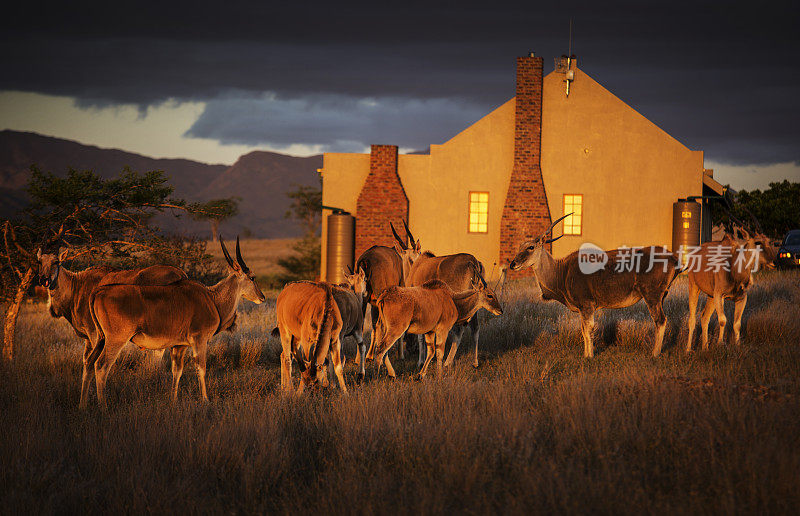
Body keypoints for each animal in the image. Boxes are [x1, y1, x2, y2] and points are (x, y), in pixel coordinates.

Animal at [89, 236, 266, 406]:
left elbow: (177, 371)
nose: (262, 297)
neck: (212, 298)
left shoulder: (179, 346)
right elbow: (201, 368)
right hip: (116, 340)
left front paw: (173, 400)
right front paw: (205, 399)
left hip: (100, 339)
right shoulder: (199, 340)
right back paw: (103, 406)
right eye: (252, 277)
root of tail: (99, 291)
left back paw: (84, 404)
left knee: (89, 362)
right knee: (101, 366)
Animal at [510, 213, 684, 354]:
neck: (562, 271)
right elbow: (583, 330)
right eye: (520, 247)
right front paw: (587, 354)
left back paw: (655, 353)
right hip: (661, 296)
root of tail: (673, 258)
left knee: (660, 320)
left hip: (652, 295)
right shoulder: (583, 308)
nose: (513, 264)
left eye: (531, 247)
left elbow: (588, 330)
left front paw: (589, 356)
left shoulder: (587, 305)